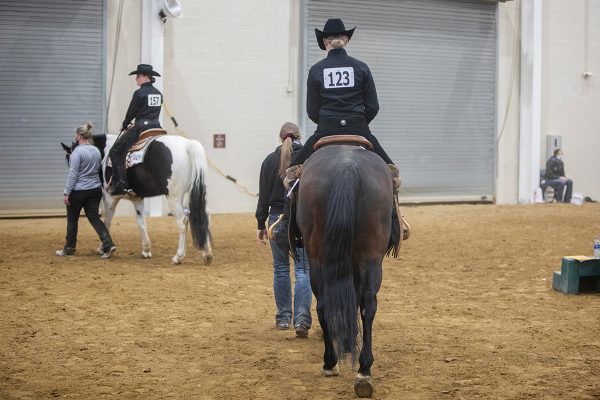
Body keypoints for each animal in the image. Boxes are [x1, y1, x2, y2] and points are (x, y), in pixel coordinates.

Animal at [62, 134, 212, 266]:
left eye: (69, 156)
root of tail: (187, 144)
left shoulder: (109, 198)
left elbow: (106, 223)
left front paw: (103, 249)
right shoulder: (137, 198)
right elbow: (141, 223)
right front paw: (146, 250)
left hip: (174, 197)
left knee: (182, 221)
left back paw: (178, 257)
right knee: (203, 215)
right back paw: (207, 254)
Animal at [296, 144, 394, 396]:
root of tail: (346, 166)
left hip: (319, 260)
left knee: (323, 305)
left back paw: (331, 362)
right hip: (370, 257)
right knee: (368, 304)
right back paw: (364, 371)